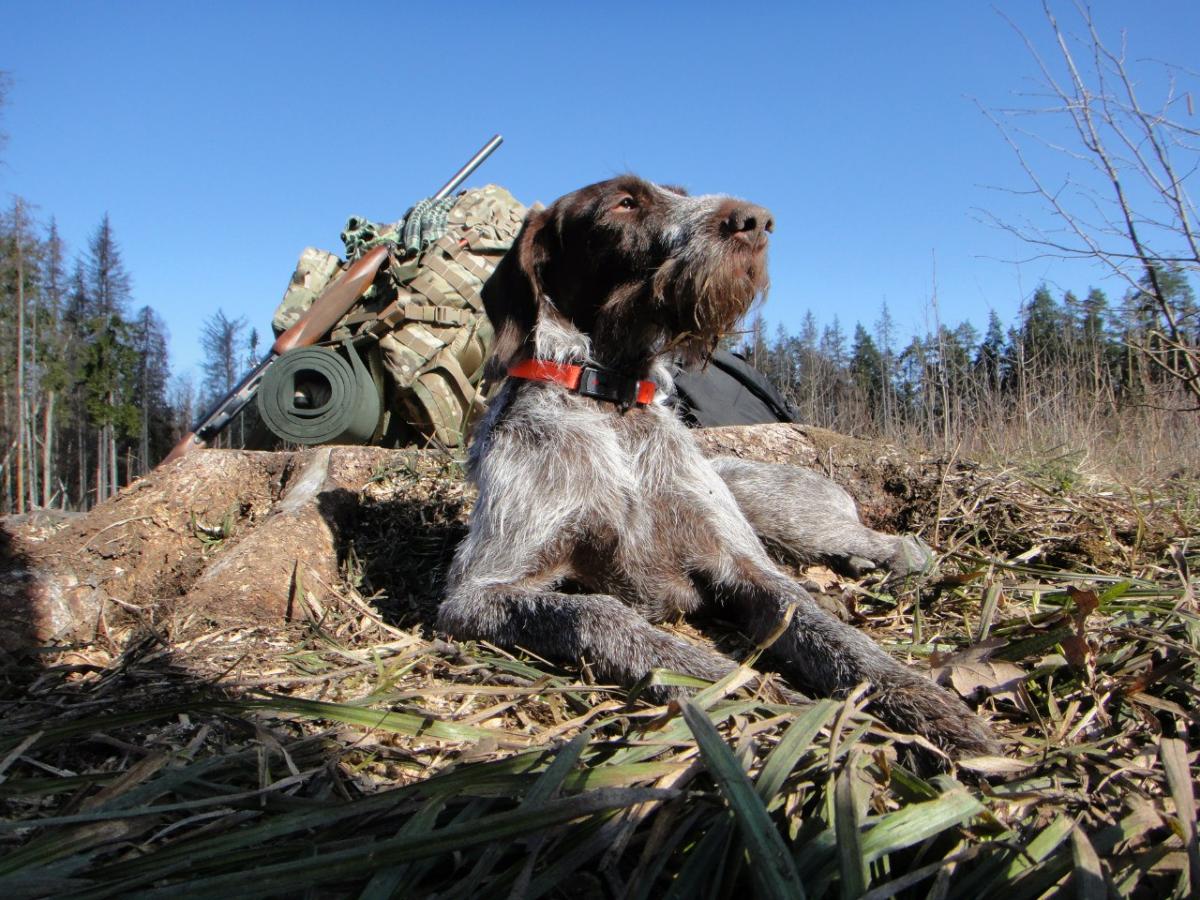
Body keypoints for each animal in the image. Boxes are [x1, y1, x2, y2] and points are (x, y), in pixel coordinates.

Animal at [436, 176, 998, 763]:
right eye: (624, 203)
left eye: (679, 192)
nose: (757, 220)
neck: (612, 403)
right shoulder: (476, 595)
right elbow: (599, 614)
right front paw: (753, 689)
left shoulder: (744, 566)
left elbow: (825, 629)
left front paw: (924, 700)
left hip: (792, 517)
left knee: (892, 543)